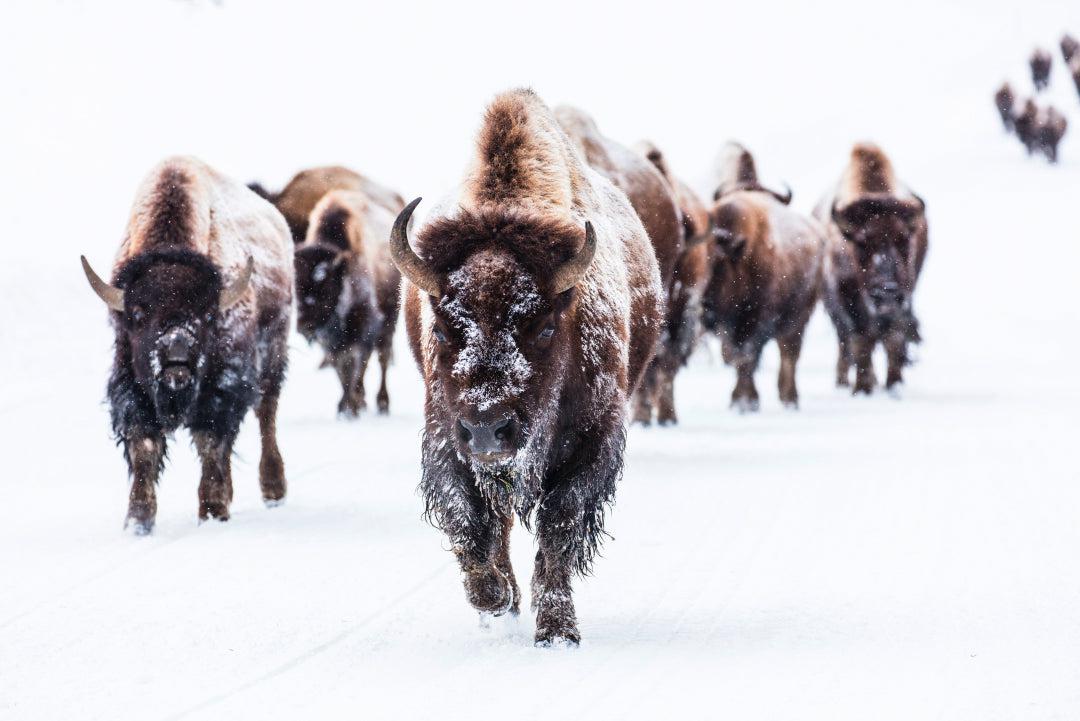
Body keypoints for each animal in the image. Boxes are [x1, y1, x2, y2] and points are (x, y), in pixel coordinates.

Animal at [81, 157, 293, 532]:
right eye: (137, 315)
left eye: (208, 314)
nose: (176, 359)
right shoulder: (131, 387)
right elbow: (144, 446)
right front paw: (138, 521)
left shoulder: (222, 390)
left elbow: (211, 443)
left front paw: (212, 511)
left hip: (273, 355)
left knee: (266, 414)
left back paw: (273, 491)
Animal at [294, 189, 403, 416]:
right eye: (295, 287)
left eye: (325, 287)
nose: (303, 326)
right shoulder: (331, 340)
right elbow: (340, 367)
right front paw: (347, 406)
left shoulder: (362, 327)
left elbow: (353, 365)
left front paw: (348, 408)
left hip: (389, 321)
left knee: (383, 357)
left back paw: (382, 403)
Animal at [394, 89, 663, 645]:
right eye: (443, 327)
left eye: (541, 326)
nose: (488, 430)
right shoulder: (447, 439)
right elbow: (468, 518)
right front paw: (494, 599)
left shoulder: (592, 443)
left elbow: (559, 525)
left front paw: (557, 631)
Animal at [815, 143, 928, 394]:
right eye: (861, 242)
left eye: (904, 240)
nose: (887, 291)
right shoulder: (848, 304)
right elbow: (861, 342)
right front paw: (862, 388)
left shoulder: (903, 299)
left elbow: (893, 339)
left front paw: (894, 384)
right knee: (845, 343)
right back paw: (844, 381)